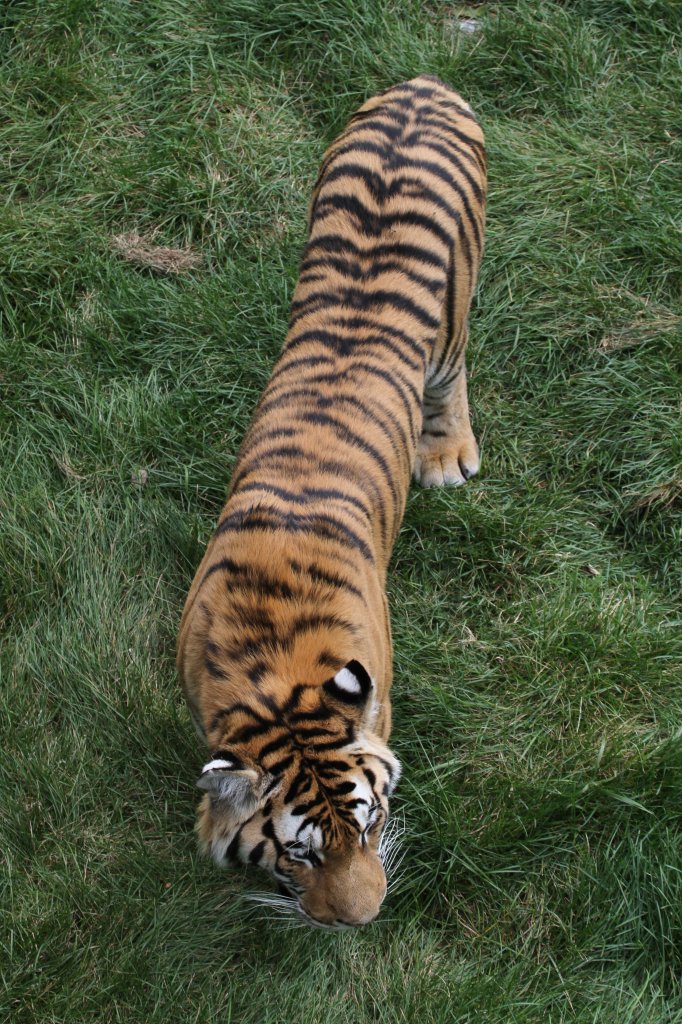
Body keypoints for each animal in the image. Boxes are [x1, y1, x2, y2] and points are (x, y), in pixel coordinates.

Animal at [175, 74, 483, 929]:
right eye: (301, 852)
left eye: (371, 821)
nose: (362, 920)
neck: (277, 663)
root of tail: (423, 82)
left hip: (452, 326)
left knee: (454, 374)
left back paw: (447, 457)